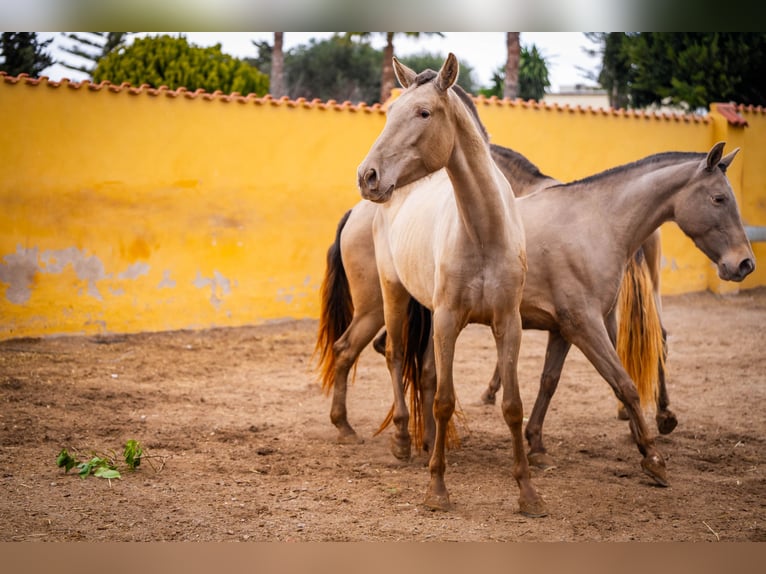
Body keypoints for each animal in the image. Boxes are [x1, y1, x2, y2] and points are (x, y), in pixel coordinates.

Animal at [320, 133, 755, 488]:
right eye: (719, 199)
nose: (744, 264)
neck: (596, 222)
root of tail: (361, 211)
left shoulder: (563, 329)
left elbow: (549, 381)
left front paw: (536, 444)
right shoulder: (585, 325)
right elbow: (624, 383)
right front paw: (652, 457)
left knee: (420, 372)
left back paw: (423, 441)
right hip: (380, 308)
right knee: (360, 351)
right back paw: (354, 429)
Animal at [355, 53, 546, 516]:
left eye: (424, 113)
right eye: (390, 112)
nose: (368, 176)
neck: (482, 230)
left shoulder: (508, 323)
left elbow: (512, 405)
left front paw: (528, 493)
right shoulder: (447, 321)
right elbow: (444, 400)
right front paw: (437, 489)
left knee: (423, 372)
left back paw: (426, 443)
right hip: (394, 293)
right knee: (395, 356)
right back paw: (403, 440)